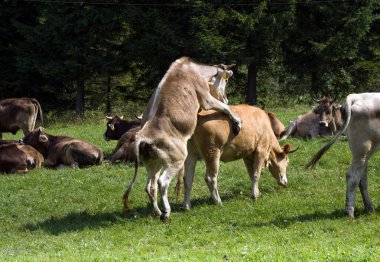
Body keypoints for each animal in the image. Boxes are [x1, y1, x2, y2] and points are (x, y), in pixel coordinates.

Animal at [123, 57, 242, 221]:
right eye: (226, 81)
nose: (226, 98)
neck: (194, 69)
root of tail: (142, 135)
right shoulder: (206, 98)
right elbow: (225, 109)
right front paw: (237, 122)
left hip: (153, 163)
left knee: (150, 186)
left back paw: (157, 212)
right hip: (177, 159)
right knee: (162, 182)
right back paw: (166, 212)